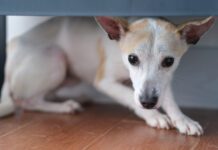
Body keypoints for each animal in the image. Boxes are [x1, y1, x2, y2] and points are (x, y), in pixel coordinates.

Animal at [0, 16, 215, 136]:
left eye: (169, 61)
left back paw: (77, 99)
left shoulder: (162, 83)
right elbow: (129, 96)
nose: (148, 102)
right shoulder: (105, 82)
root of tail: (12, 45)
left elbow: (170, 101)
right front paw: (154, 116)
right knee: (25, 101)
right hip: (56, 59)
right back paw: (64, 106)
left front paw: (182, 120)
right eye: (132, 58)